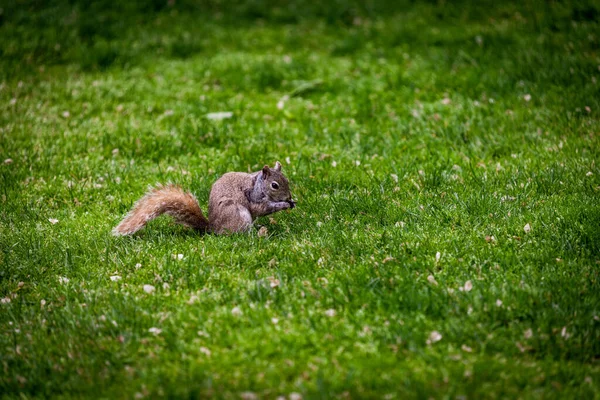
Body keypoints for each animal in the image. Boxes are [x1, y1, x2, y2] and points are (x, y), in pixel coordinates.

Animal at [112, 162, 296, 236]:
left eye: (287, 180)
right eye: (274, 185)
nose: (288, 196)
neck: (258, 184)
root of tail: (212, 227)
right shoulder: (254, 199)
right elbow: (264, 208)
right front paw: (283, 204)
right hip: (238, 214)